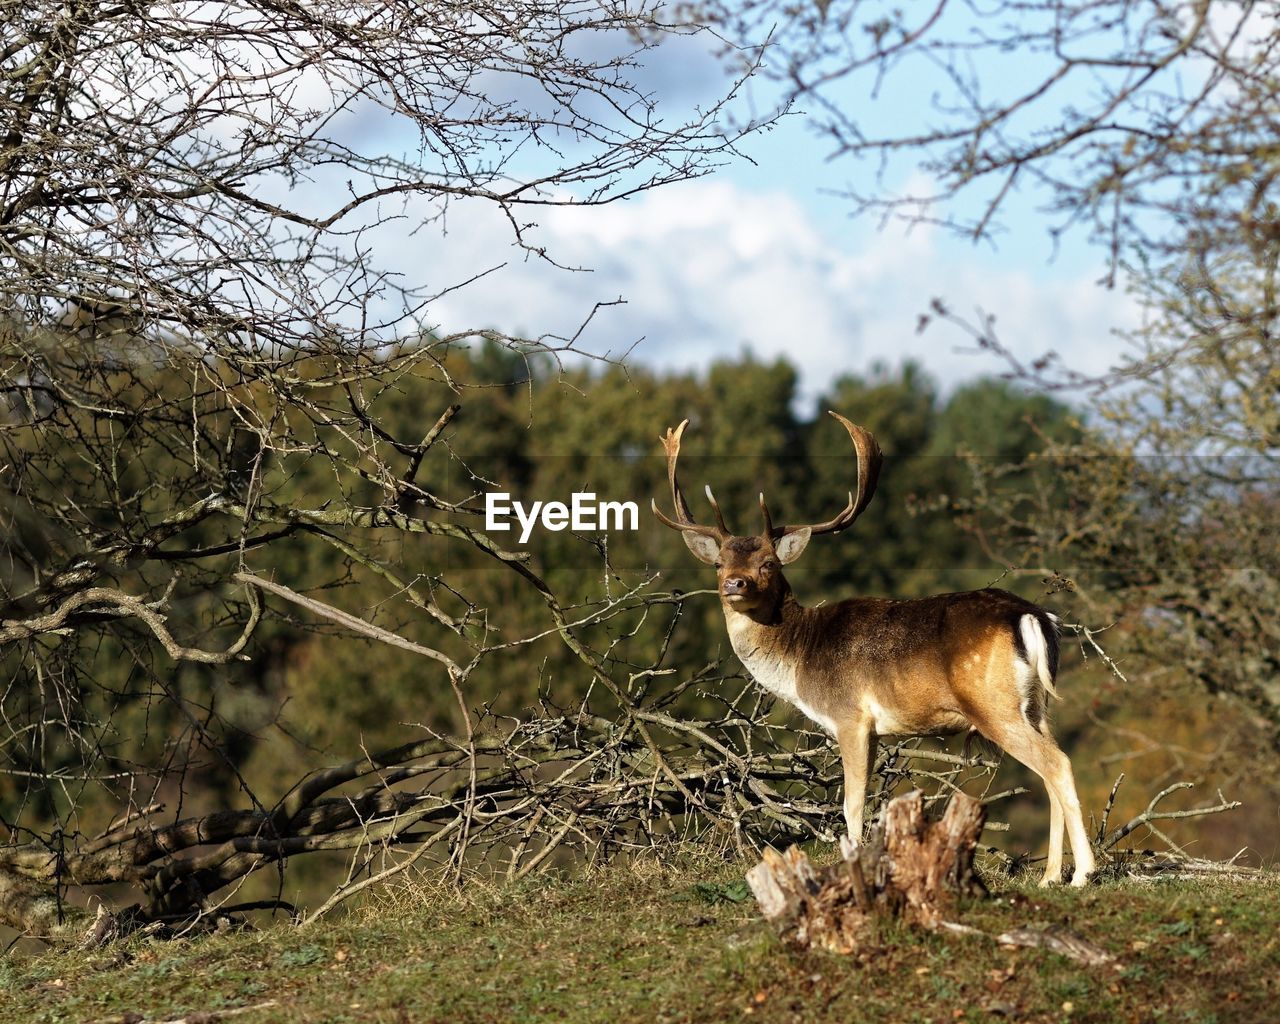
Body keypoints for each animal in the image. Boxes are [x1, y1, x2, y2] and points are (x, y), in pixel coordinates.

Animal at [655, 412, 1095, 885]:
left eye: (769, 564)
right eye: (720, 562)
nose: (734, 584)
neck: (799, 661)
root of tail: (1033, 617)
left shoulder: (850, 717)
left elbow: (851, 806)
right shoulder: (875, 731)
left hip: (993, 704)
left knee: (1057, 765)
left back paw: (1082, 873)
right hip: (1036, 705)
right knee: (1048, 772)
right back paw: (1050, 876)